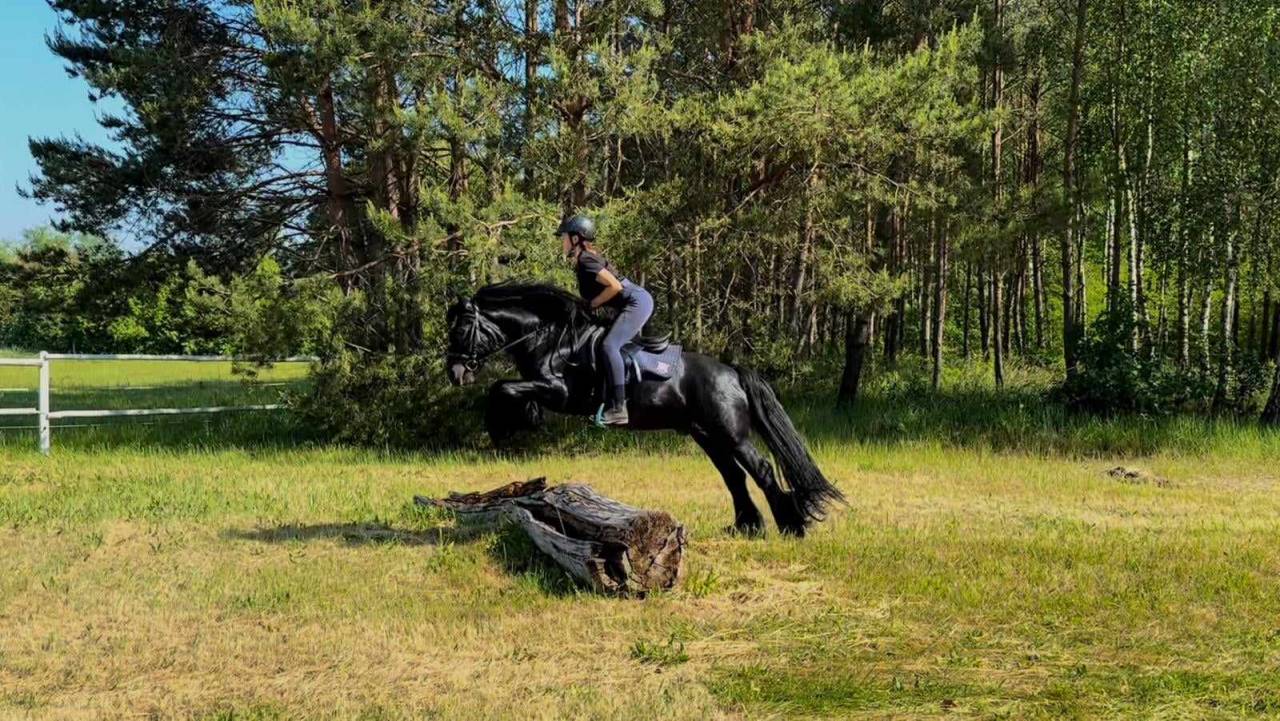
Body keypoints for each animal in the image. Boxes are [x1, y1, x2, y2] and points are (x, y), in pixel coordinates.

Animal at [444, 282, 844, 536]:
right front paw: (522, 418)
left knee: (759, 469)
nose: (455, 372)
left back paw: (792, 526)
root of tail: (730, 371)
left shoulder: (559, 392)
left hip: (731, 433)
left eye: (461, 330)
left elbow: (502, 387)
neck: (551, 338)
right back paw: (747, 527)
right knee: (734, 476)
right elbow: (511, 388)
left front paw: (501, 426)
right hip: (706, 435)